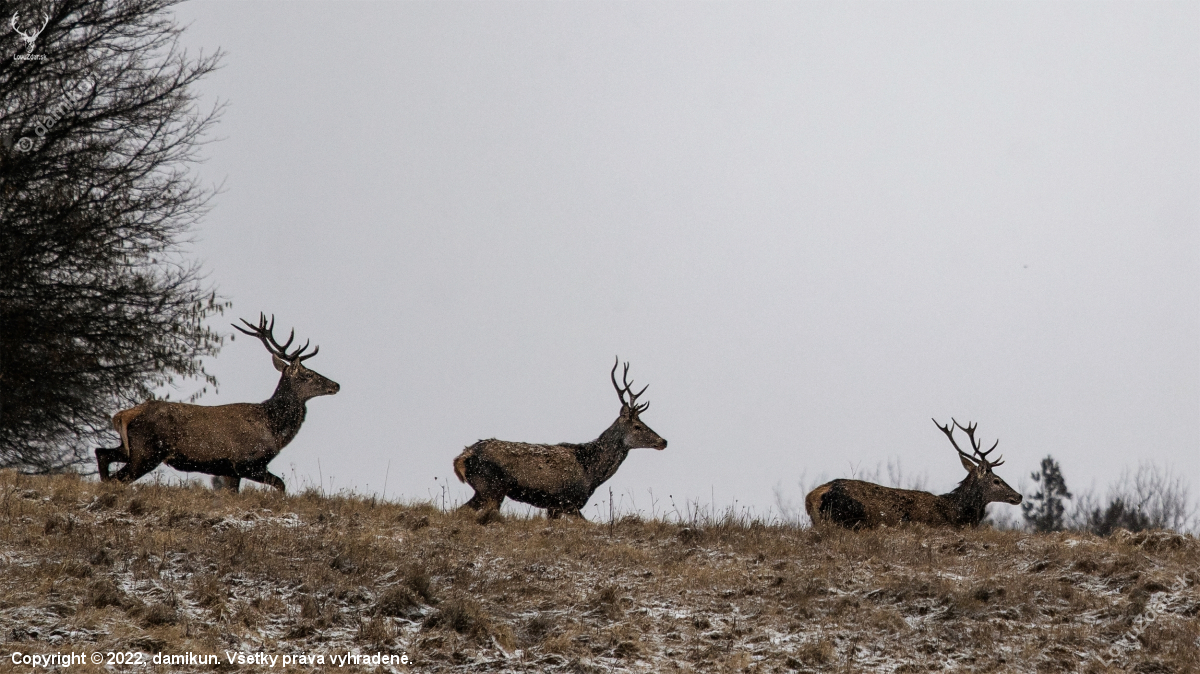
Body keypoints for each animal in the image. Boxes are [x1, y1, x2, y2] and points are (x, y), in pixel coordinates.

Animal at [95, 314, 339, 492]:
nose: (336, 385)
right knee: (118, 477)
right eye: (308, 375)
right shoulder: (246, 463)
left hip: (132, 448)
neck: (272, 429)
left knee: (102, 453)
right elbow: (281, 485)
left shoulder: (229, 470)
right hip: (147, 451)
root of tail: (123, 415)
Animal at [453, 358, 668, 520]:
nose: (663, 441)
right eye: (638, 426)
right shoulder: (566, 501)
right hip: (491, 487)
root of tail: (462, 457)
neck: (591, 471)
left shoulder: (553, 506)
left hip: (486, 489)